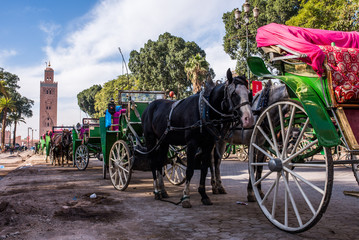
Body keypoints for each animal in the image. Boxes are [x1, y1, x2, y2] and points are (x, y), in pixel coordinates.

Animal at [142, 68, 255, 207]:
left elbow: (204, 169)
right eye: (234, 94)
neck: (204, 112)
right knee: (153, 162)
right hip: (150, 139)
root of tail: (150, 106)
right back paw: (156, 191)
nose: (249, 119)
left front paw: (204, 195)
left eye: (249, 94)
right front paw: (186, 197)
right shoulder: (192, 144)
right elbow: (189, 170)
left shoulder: (208, 144)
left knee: (160, 162)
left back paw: (163, 190)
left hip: (164, 141)